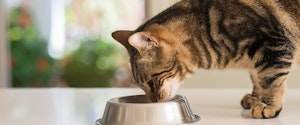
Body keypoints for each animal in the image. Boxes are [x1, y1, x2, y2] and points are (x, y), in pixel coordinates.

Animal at [112, 0, 300, 118]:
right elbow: (257, 78)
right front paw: (255, 98)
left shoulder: (273, 46)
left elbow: (270, 80)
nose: (154, 102)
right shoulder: (259, 58)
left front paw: (268, 105)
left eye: (151, 82)